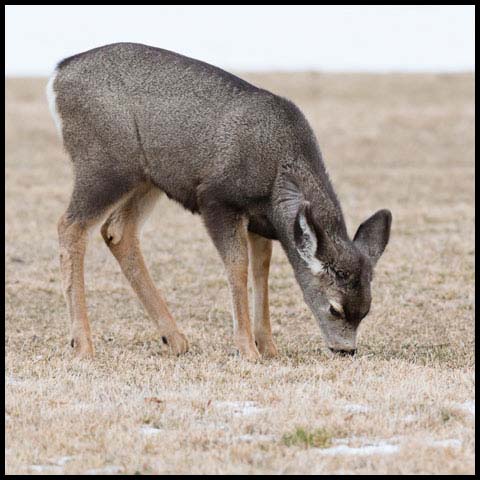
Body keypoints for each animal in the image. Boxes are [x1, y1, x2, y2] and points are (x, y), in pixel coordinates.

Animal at [46, 43, 390, 360]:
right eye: (335, 308)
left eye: (367, 309)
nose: (345, 350)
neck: (277, 173)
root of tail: (58, 74)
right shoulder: (218, 200)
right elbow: (237, 266)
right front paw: (247, 350)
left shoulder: (261, 220)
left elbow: (261, 270)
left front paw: (269, 347)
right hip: (103, 164)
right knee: (70, 225)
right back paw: (83, 344)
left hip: (146, 178)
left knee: (117, 232)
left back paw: (174, 339)